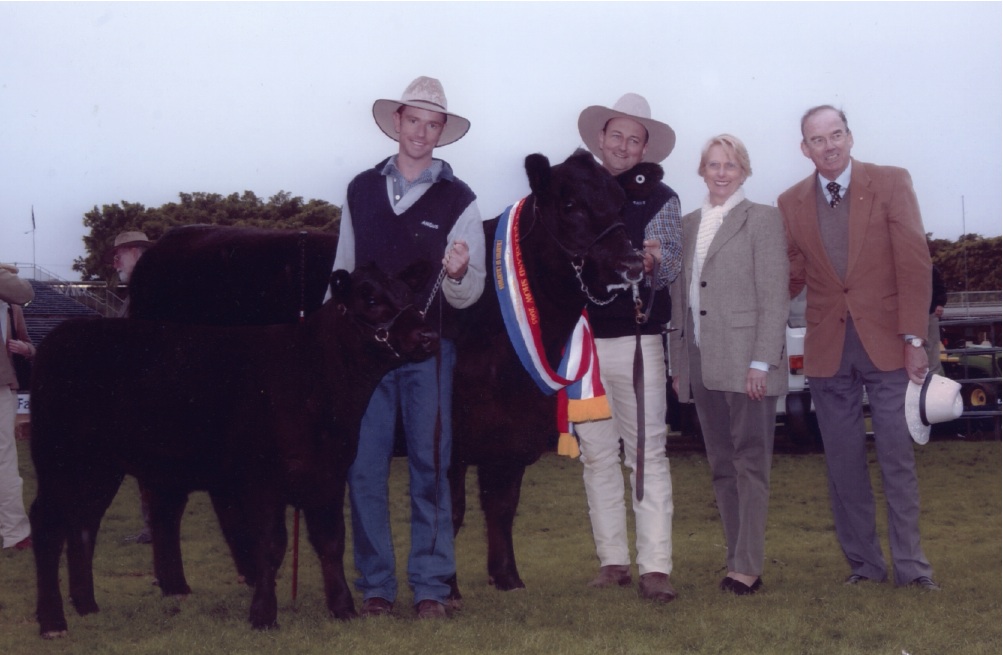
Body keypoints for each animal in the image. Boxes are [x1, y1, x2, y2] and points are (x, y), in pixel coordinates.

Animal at [30, 262, 435, 637]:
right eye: (370, 299)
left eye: (410, 296)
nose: (428, 333)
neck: (314, 380)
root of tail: (62, 334)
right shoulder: (263, 480)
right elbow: (270, 546)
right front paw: (264, 615)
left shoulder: (329, 474)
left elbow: (331, 541)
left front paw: (343, 608)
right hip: (58, 459)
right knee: (47, 524)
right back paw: (52, 621)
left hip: (99, 468)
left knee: (83, 522)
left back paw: (86, 605)